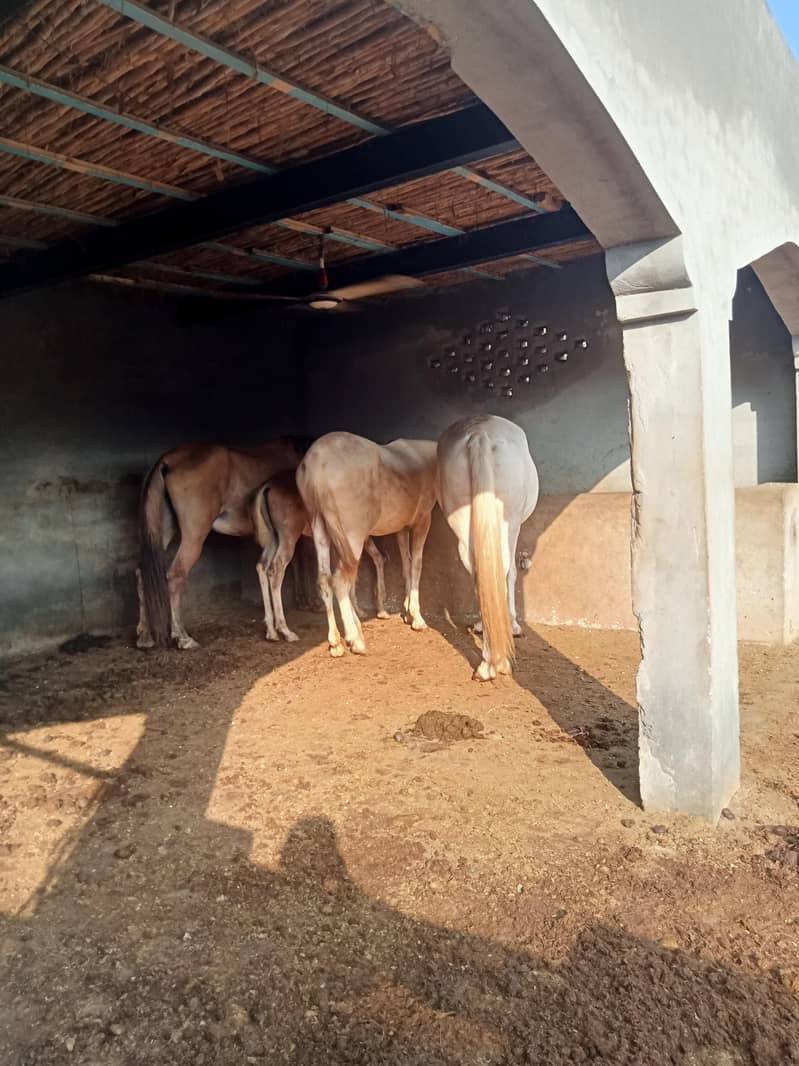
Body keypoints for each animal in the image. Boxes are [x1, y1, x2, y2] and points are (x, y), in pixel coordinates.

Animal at [136, 438, 311, 650]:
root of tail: (166, 461)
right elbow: (301, 563)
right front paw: (307, 602)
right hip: (194, 534)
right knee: (176, 576)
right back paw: (183, 637)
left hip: (163, 531)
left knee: (143, 573)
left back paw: (145, 636)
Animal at [250, 470, 389, 643]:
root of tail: (266, 488)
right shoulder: (356, 538)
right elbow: (370, 563)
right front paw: (369, 611)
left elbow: (369, 562)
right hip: (288, 536)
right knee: (276, 569)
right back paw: (286, 631)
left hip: (273, 537)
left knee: (262, 565)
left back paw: (271, 631)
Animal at [296, 432, 438, 658]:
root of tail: (316, 463)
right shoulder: (422, 521)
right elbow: (416, 564)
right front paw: (416, 617)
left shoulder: (402, 528)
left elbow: (406, 565)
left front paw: (407, 610)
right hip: (352, 537)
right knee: (340, 581)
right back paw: (356, 639)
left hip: (320, 528)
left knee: (324, 579)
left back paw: (336, 643)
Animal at [436, 414, 539, 681]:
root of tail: (479, 433)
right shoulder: (514, 529)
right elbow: (511, 574)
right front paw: (513, 625)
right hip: (508, 523)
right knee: (501, 569)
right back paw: (496, 660)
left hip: (463, 525)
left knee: (478, 572)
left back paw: (486, 660)